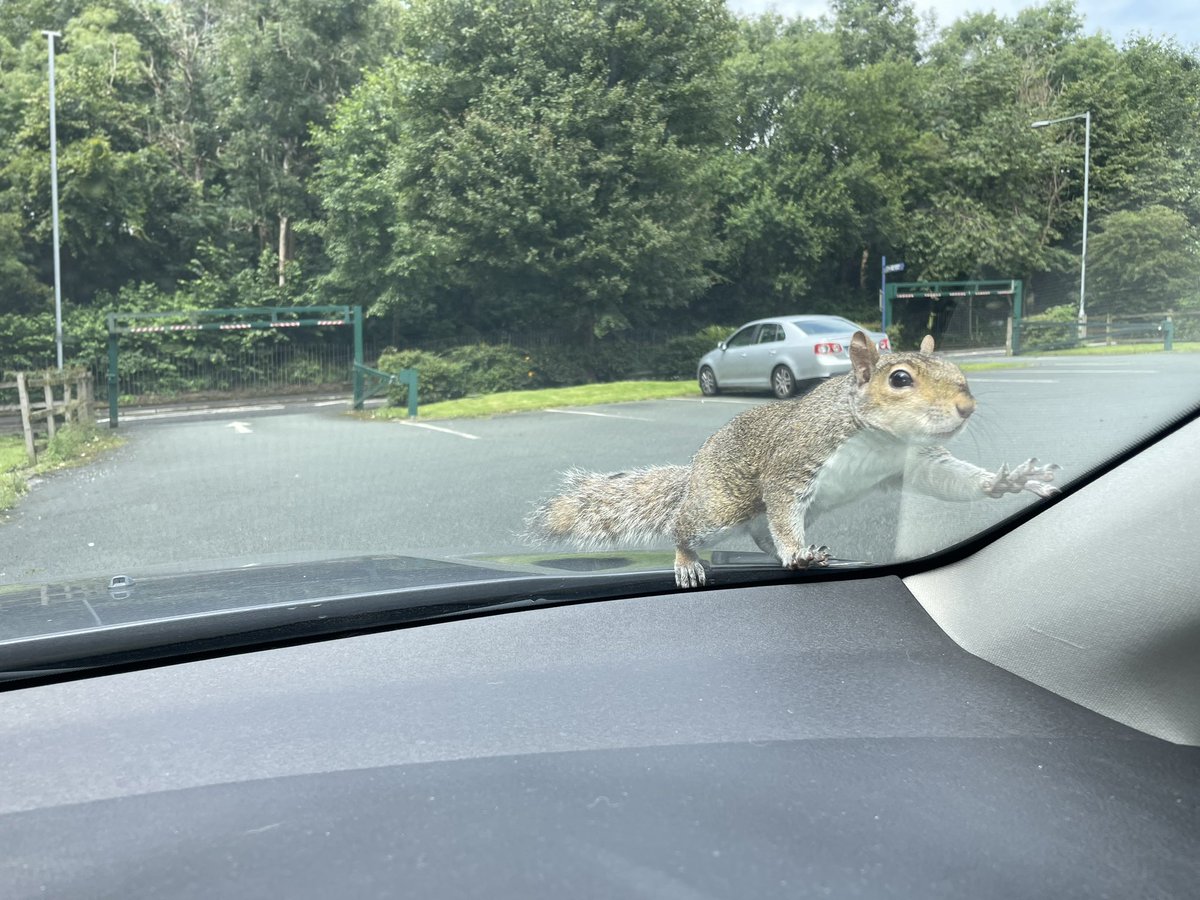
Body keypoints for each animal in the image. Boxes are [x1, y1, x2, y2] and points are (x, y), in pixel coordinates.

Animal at [528, 332, 1061, 588]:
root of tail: (695, 473)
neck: (879, 438)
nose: (966, 407)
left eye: (957, 369)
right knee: (689, 525)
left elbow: (951, 480)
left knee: (762, 535)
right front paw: (796, 550)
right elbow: (785, 506)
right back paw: (689, 560)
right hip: (722, 505)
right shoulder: (795, 461)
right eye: (900, 379)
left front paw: (1007, 481)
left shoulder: (916, 460)